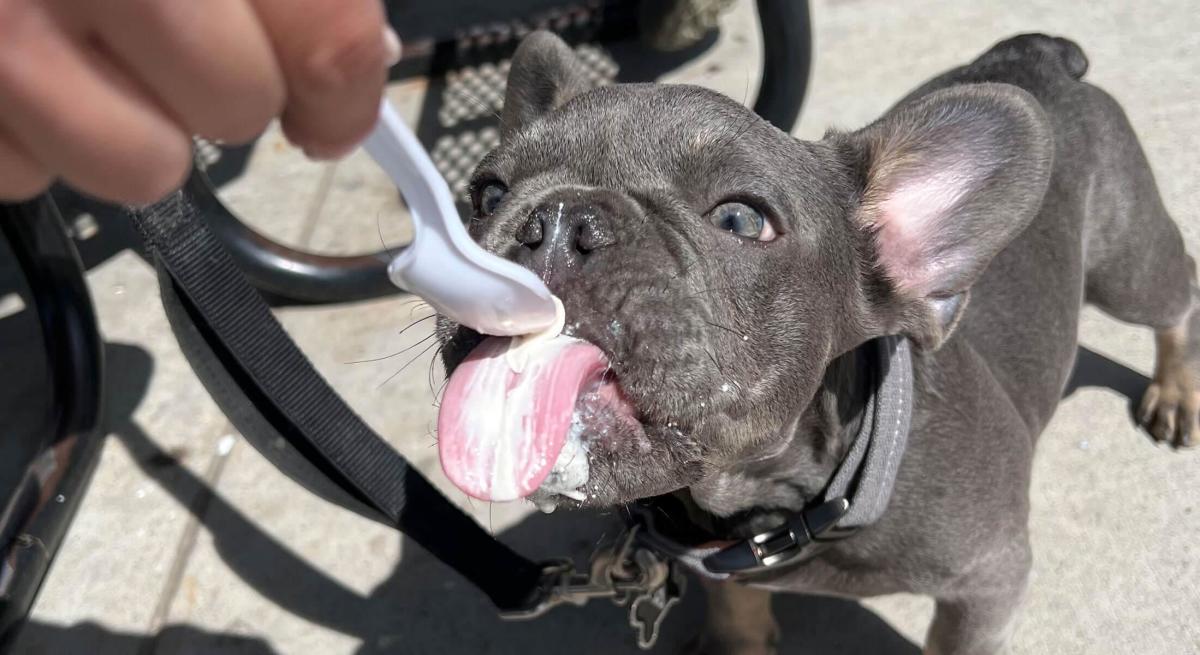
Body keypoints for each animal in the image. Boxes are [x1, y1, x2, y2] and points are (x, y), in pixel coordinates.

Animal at [432, 31, 1190, 652]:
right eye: (486, 194)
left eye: (741, 219)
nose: (558, 221)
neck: (767, 508)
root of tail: (1037, 55)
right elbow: (735, 608)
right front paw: (736, 644)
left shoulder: (988, 582)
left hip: (1131, 268)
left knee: (1179, 296)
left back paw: (1176, 392)